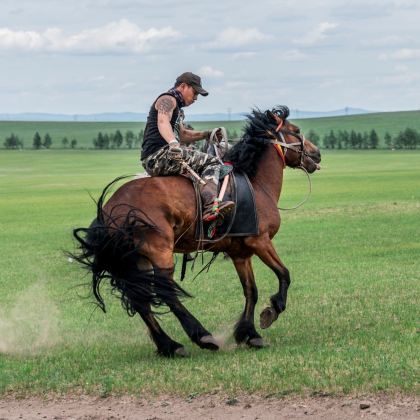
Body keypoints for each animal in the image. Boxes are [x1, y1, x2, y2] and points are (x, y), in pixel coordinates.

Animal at [72, 106, 322, 356]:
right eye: (295, 130)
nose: (317, 154)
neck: (257, 185)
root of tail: (109, 210)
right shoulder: (260, 242)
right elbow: (284, 274)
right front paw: (271, 311)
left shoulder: (241, 254)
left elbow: (251, 291)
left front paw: (249, 334)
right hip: (159, 252)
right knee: (166, 293)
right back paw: (201, 336)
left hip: (136, 259)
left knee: (141, 300)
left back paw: (169, 345)